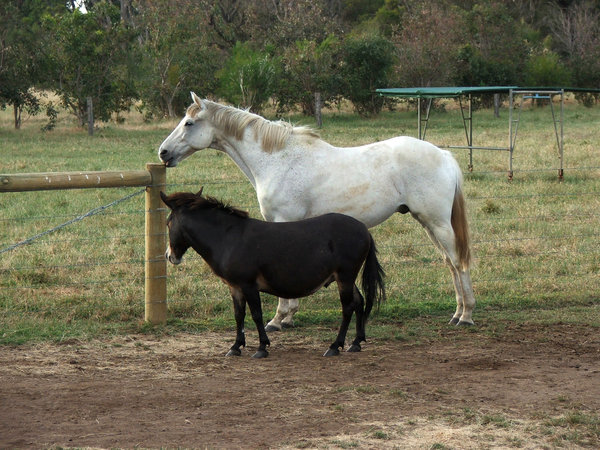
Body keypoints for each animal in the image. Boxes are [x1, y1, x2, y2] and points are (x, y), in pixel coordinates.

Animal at [161, 92, 478, 330]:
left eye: (189, 123)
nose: (163, 153)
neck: (276, 159)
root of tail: (444, 155)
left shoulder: (284, 220)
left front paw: (279, 319)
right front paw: (287, 317)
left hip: (437, 223)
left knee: (458, 262)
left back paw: (466, 315)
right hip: (428, 223)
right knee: (450, 263)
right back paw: (456, 312)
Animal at [161, 190, 384, 358]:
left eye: (168, 223)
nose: (170, 256)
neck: (228, 238)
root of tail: (364, 229)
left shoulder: (249, 285)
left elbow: (256, 315)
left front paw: (261, 347)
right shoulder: (235, 287)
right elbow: (239, 315)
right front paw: (235, 347)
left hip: (345, 276)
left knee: (348, 307)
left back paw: (335, 346)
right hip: (345, 277)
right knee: (359, 302)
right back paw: (356, 343)